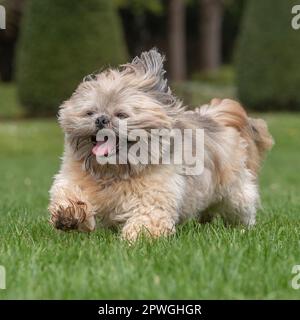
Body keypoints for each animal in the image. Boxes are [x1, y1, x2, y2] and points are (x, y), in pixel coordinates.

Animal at [49, 48, 274, 241]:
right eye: (90, 112)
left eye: (121, 115)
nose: (101, 120)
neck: (114, 172)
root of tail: (213, 117)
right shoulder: (73, 180)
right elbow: (68, 194)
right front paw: (68, 215)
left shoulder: (153, 199)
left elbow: (147, 219)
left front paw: (136, 239)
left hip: (233, 194)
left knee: (242, 207)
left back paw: (243, 229)